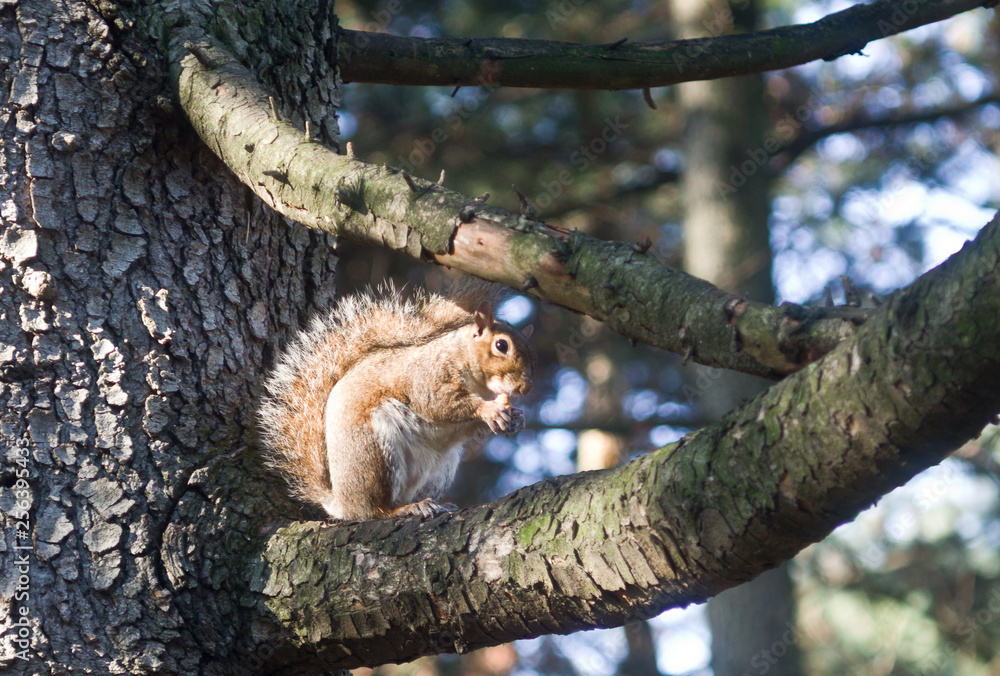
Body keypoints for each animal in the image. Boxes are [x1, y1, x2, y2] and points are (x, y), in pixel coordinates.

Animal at [259, 278, 536, 520]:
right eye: (501, 345)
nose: (525, 389)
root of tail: (342, 503)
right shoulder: (427, 376)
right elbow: (438, 404)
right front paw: (490, 410)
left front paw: (516, 419)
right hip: (375, 453)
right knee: (375, 510)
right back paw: (402, 509)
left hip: (441, 468)